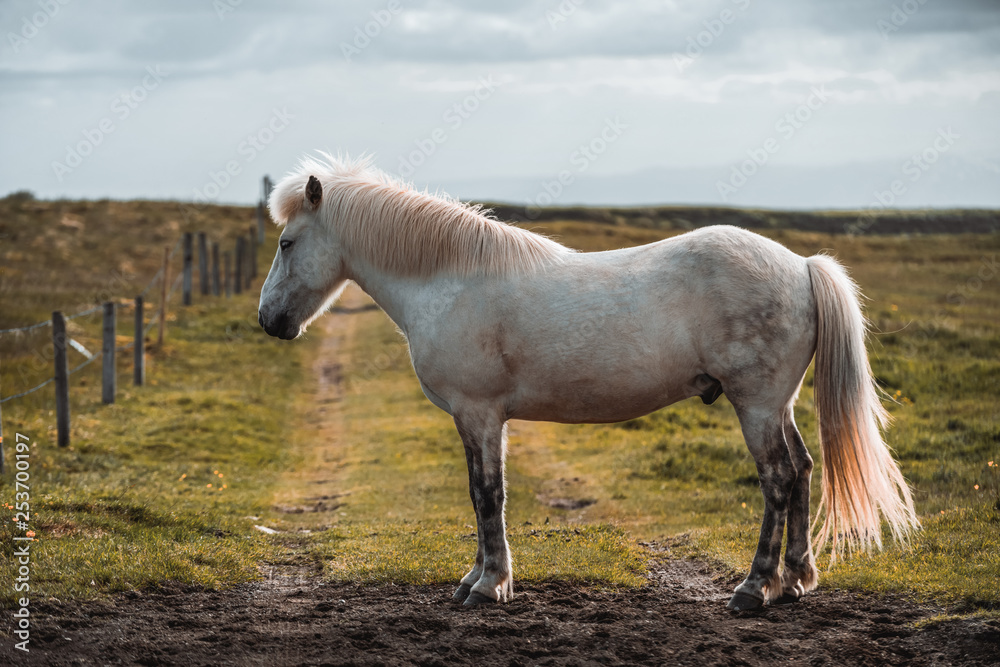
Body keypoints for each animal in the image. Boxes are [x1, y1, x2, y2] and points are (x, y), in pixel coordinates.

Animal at [260, 155, 920, 612]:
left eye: (288, 243)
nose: (269, 321)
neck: (451, 279)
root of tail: (802, 266)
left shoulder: (478, 413)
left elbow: (487, 495)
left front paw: (489, 586)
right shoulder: (480, 420)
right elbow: (482, 495)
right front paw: (477, 579)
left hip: (755, 405)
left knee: (779, 479)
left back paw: (755, 588)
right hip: (776, 405)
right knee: (804, 470)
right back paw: (795, 581)